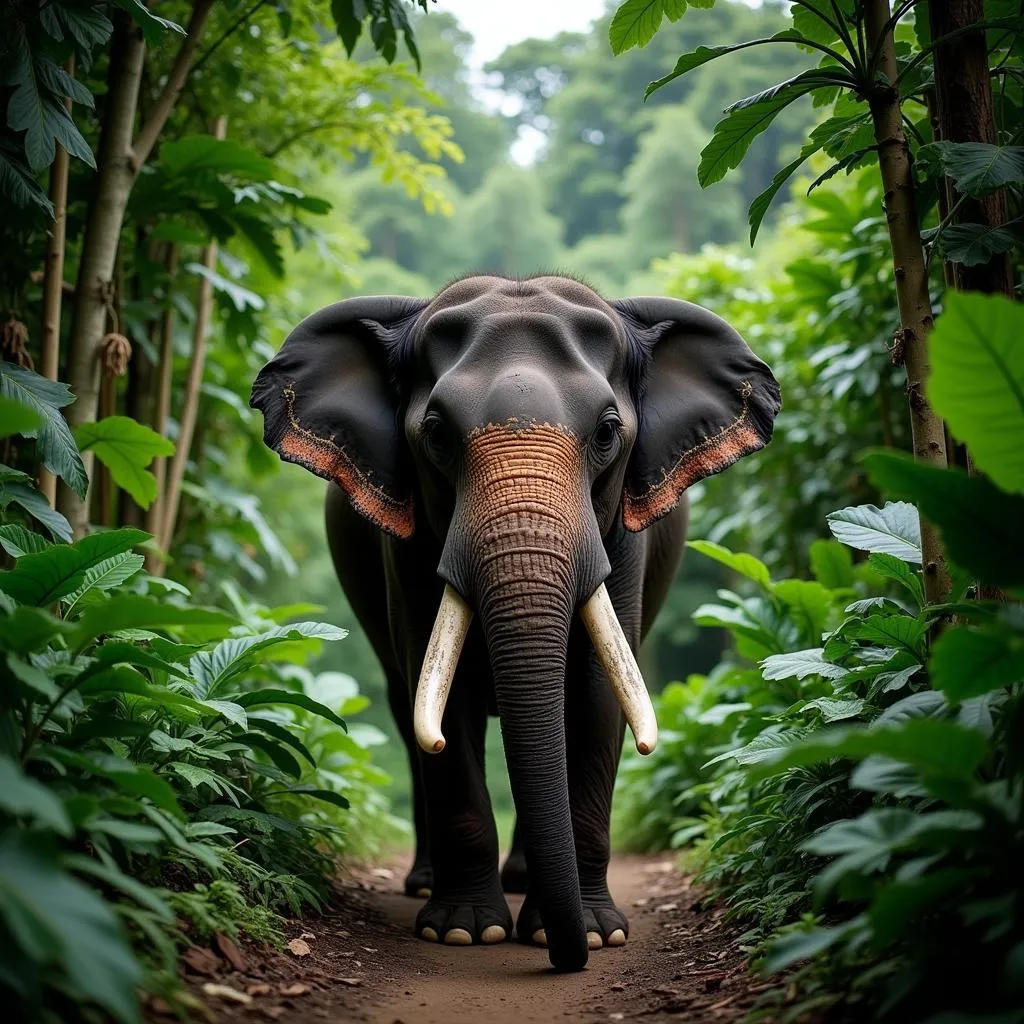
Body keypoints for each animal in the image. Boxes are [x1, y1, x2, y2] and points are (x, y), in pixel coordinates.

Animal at [251, 270, 778, 966]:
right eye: (437, 434)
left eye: (607, 432)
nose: (565, 961)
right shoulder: (406, 543)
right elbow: (442, 701)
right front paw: (465, 930)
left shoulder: (623, 540)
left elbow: (595, 695)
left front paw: (591, 933)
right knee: (405, 703)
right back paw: (430, 885)